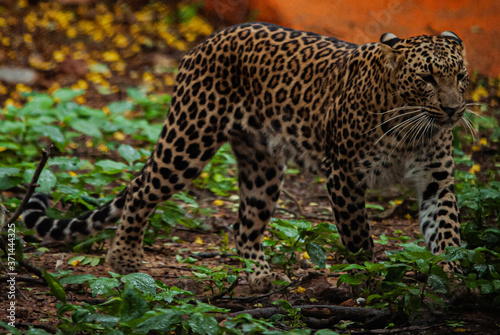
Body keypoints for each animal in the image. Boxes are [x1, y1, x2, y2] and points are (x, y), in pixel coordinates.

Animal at [21, 22, 466, 292]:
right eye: (426, 78)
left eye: (460, 76)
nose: (454, 110)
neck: (410, 127)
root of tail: (212, 38)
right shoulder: (344, 175)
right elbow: (358, 240)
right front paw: (368, 282)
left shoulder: (436, 180)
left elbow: (447, 233)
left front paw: (455, 281)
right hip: (188, 140)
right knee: (142, 191)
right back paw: (124, 258)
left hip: (261, 166)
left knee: (244, 226)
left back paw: (261, 277)